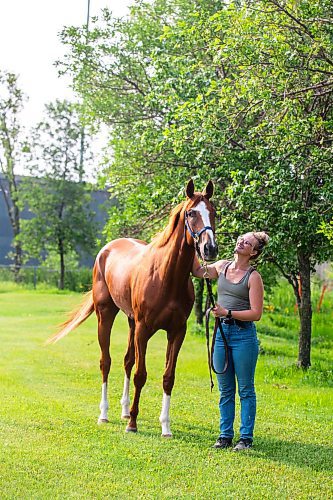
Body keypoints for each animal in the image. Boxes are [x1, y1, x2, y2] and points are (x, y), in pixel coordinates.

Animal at [47, 181, 218, 438]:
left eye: (214, 212)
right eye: (191, 213)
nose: (210, 249)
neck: (166, 277)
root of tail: (107, 249)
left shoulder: (176, 332)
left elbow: (168, 376)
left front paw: (165, 426)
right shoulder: (144, 329)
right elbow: (141, 374)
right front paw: (133, 425)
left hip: (130, 322)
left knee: (127, 360)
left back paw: (125, 410)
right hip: (106, 316)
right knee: (106, 362)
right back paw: (104, 414)